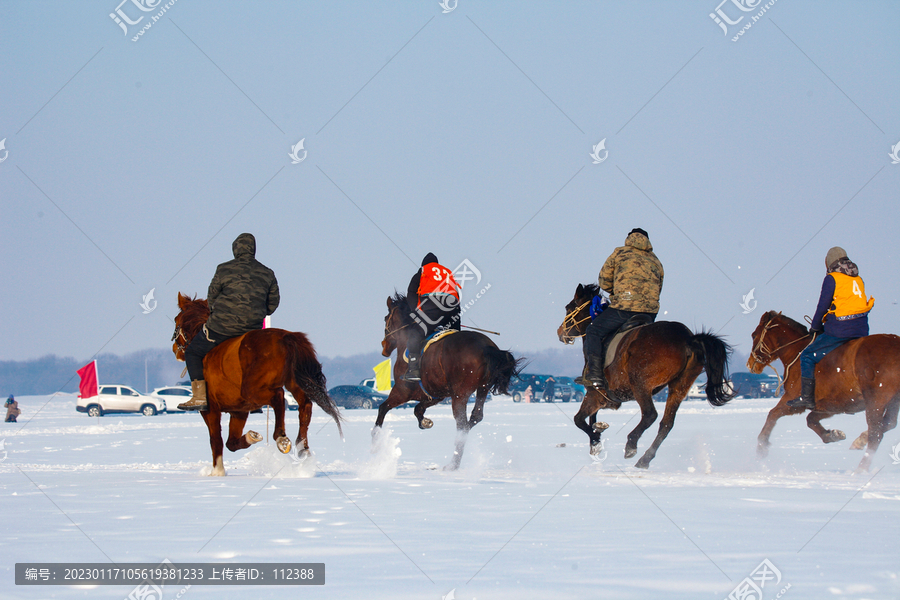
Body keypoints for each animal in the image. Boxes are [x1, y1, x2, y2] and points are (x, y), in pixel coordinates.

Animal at [171, 292, 342, 476]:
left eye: (176, 319)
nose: (175, 350)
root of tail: (286, 337)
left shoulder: (211, 409)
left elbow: (216, 439)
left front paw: (218, 471)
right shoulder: (239, 411)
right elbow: (231, 442)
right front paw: (252, 436)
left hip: (254, 390)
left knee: (279, 396)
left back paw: (280, 437)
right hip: (295, 383)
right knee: (305, 405)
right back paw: (302, 445)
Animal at [374, 292, 528, 472]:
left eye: (386, 318)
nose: (384, 347)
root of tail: (486, 347)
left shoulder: (401, 391)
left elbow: (383, 408)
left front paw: (375, 441)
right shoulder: (435, 395)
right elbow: (418, 409)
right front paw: (425, 422)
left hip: (460, 395)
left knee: (461, 423)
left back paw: (453, 464)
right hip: (482, 389)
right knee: (474, 418)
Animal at [560, 284, 736, 468]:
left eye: (568, 308)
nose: (560, 332)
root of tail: (688, 340)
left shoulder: (595, 394)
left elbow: (579, 419)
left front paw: (596, 441)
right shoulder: (605, 397)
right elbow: (590, 418)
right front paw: (598, 432)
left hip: (640, 384)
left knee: (650, 415)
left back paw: (631, 445)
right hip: (679, 386)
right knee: (666, 423)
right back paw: (644, 459)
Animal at [744, 310, 900, 474]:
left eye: (754, 335)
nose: (750, 364)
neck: (797, 352)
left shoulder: (793, 400)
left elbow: (773, 415)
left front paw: (761, 449)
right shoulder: (830, 406)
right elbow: (811, 420)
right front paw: (832, 435)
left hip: (875, 401)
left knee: (876, 433)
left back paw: (861, 468)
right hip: (892, 401)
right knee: (888, 424)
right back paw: (860, 442)